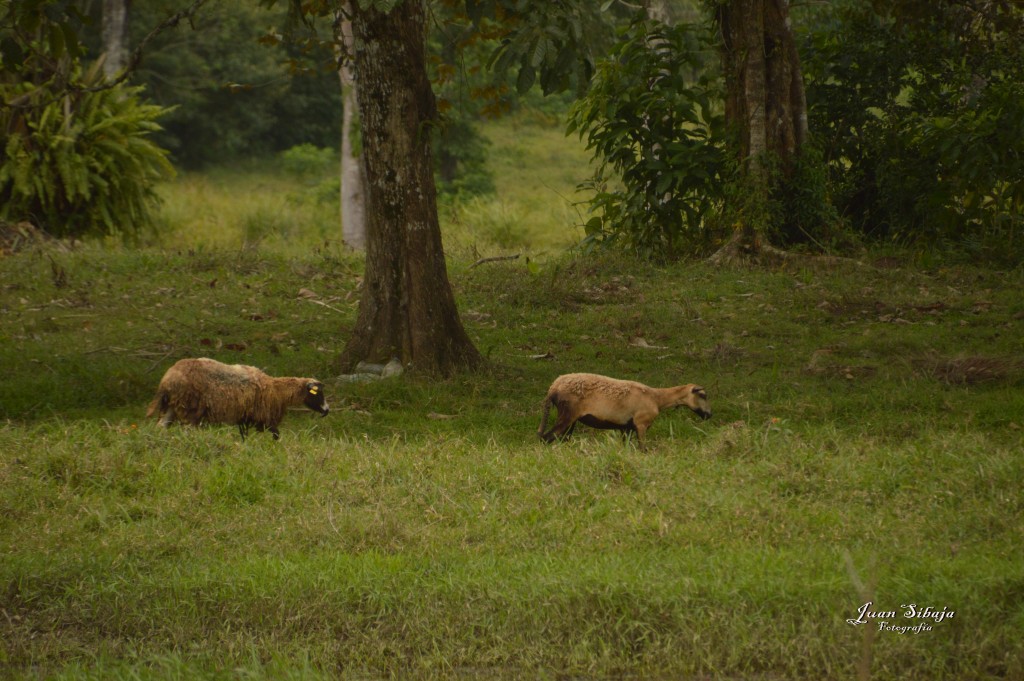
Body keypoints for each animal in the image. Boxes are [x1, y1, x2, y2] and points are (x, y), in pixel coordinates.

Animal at [146, 358, 329, 438]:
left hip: (172, 407)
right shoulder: (265, 417)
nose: (327, 410)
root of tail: (167, 379)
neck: (276, 390)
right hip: (190, 408)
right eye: (319, 393)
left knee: (160, 427)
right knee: (187, 431)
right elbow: (277, 435)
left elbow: (244, 437)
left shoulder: (245, 418)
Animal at [536, 372, 712, 446]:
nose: (710, 414)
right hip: (567, 414)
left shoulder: (626, 428)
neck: (657, 398)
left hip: (571, 419)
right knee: (546, 438)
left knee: (561, 439)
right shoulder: (641, 424)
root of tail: (553, 387)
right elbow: (643, 449)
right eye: (703, 395)